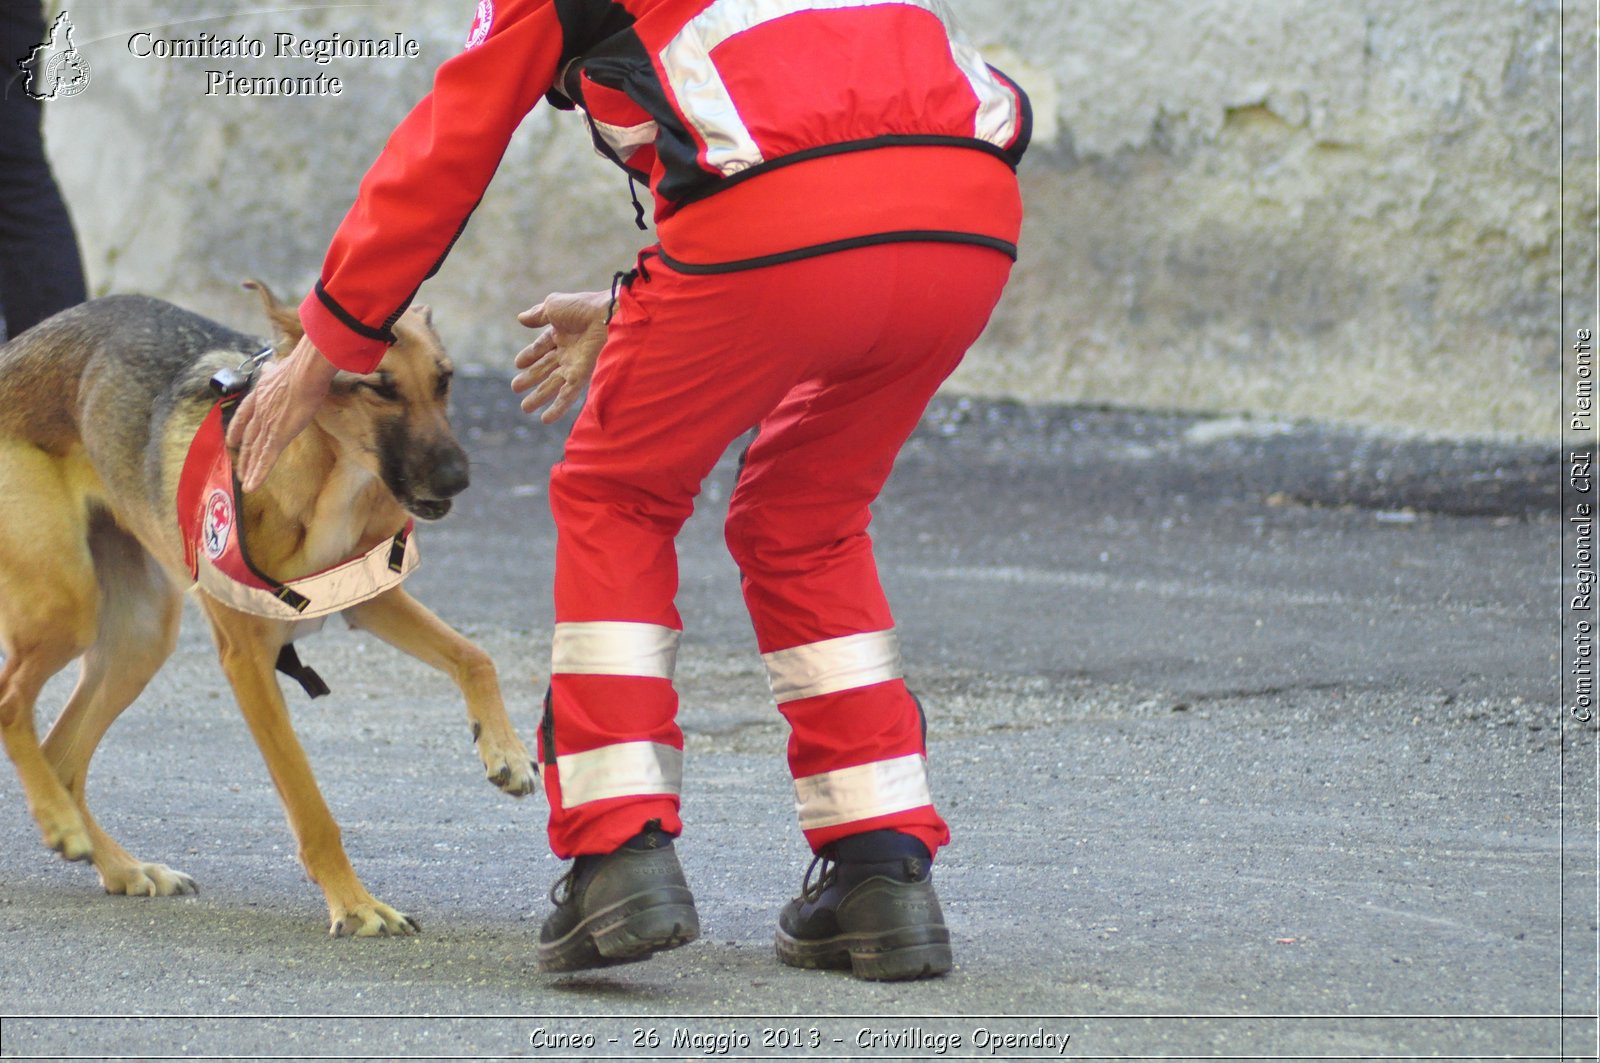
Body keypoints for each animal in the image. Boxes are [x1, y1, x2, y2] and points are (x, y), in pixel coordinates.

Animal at [0, 284, 537, 941]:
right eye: (378, 387)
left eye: (445, 379)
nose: (457, 480)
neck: (328, 476)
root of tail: (15, 349)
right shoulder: (249, 662)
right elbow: (308, 800)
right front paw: (355, 904)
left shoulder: (373, 600)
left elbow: (475, 656)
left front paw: (505, 752)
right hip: (68, 608)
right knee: (10, 705)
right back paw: (61, 823)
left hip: (139, 638)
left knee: (63, 756)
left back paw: (118, 864)